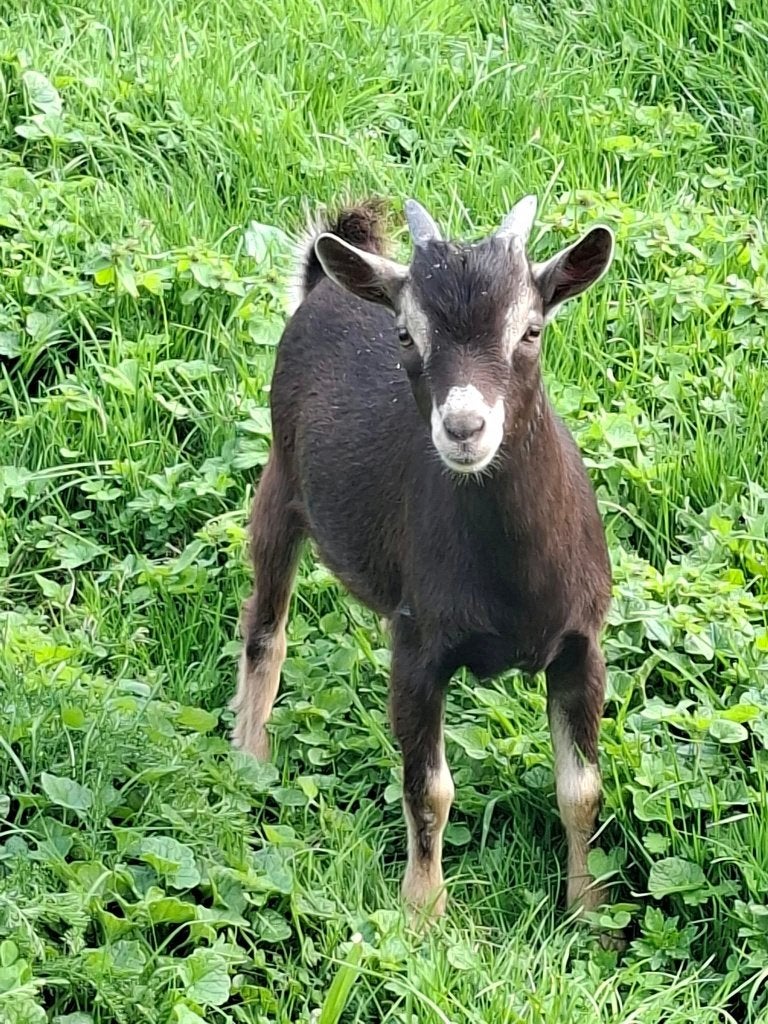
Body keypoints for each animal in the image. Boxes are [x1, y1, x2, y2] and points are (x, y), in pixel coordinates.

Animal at [232, 195, 615, 922]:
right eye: (407, 335)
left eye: (530, 330)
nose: (464, 428)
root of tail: (325, 287)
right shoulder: (416, 648)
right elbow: (428, 788)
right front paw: (423, 914)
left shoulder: (583, 645)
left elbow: (582, 791)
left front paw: (591, 913)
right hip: (280, 486)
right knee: (265, 627)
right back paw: (250, 754)